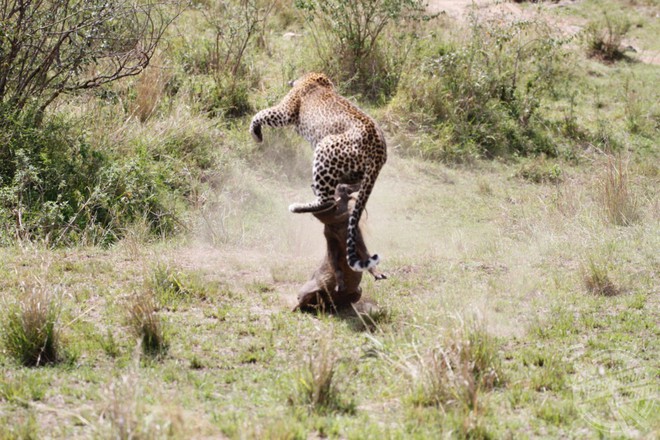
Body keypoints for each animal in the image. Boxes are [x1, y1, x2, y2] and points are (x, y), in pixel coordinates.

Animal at [251, 72, 386, 272]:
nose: (290, 81)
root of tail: (380, 153)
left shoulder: (285, 111)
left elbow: (261, 114)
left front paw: (255, 133)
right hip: (356, 170)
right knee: (350, 188)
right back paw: (342, 188)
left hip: (325, 145)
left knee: (327, 201)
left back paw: (298, 206)